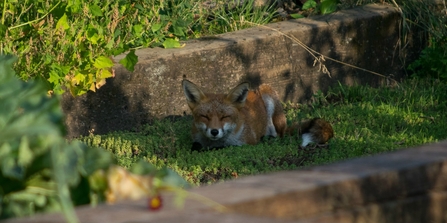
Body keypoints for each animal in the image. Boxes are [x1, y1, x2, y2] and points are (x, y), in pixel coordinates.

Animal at [181, 79, 332, 151]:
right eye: (205, 117)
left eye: (225, 117)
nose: (214, 131)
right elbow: (196, 146)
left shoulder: (246, 143)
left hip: (266, 92)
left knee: (278, 134)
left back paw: (267, 138)